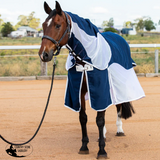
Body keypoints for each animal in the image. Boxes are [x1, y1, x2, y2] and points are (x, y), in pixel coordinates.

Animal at [38, 1, 145, 159]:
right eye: (44, 25)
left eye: (57, 25)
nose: (43, 54)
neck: (85, 60)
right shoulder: (79, 92)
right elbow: (83, 117)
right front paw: (84, 147)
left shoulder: (99, 89)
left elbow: (100, 119)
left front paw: (102, 151)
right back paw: (105, 134)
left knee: (119, 105)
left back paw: (119, 130)